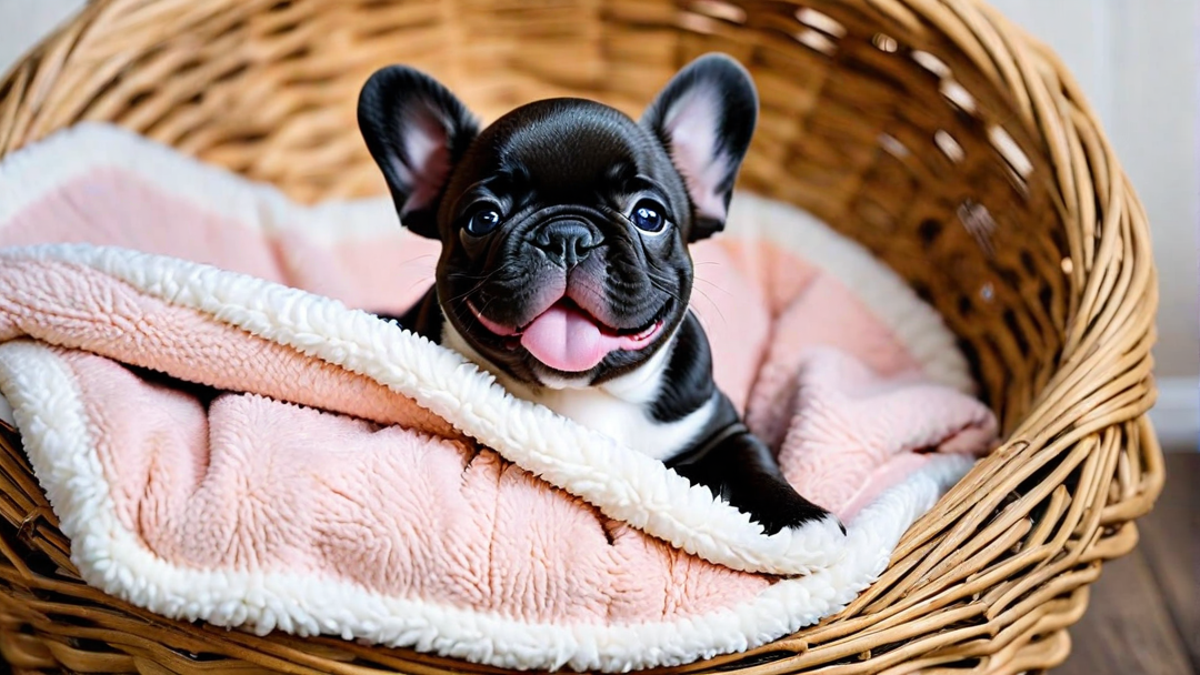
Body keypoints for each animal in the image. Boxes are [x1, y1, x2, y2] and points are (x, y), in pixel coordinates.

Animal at [357, 52, 844, 533]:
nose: (567, 236)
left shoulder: (717, 425)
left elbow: (752, 460)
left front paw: (803, 518)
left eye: (648, 216)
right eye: (483, 219)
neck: (584, 395)